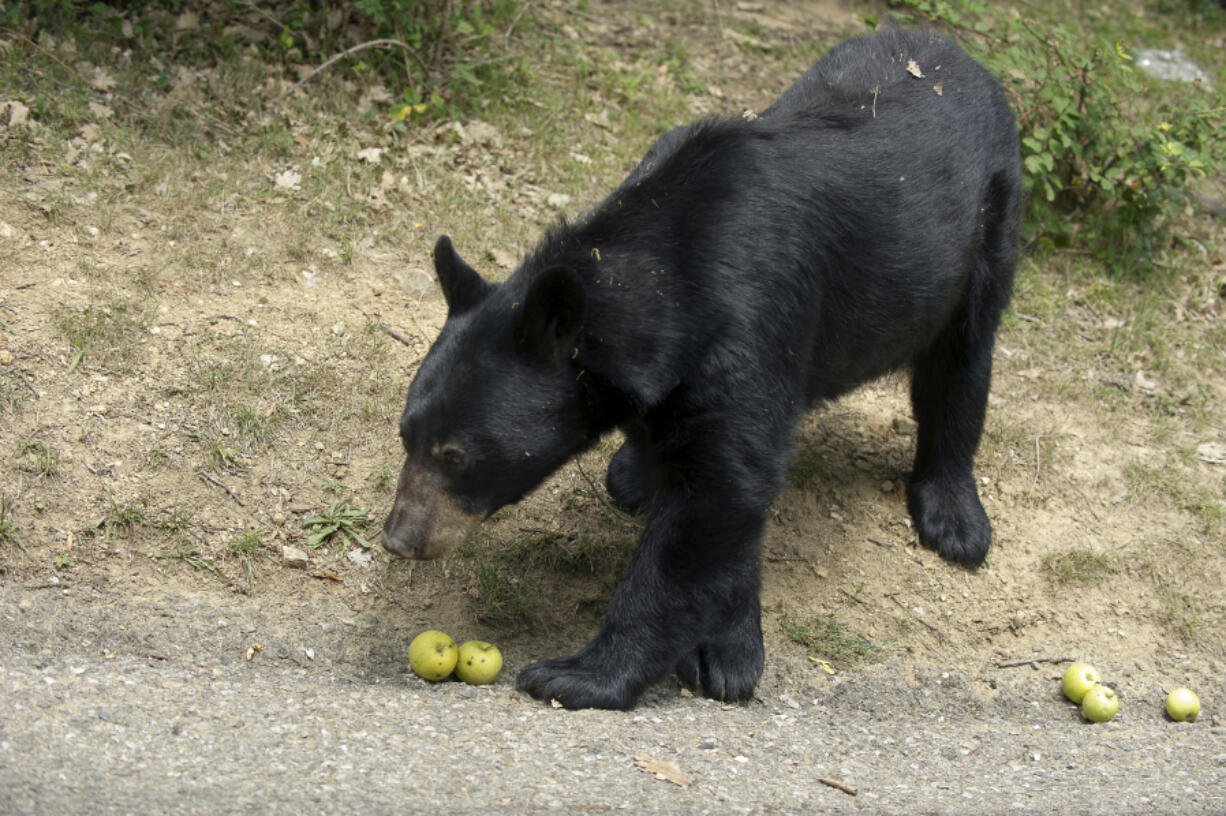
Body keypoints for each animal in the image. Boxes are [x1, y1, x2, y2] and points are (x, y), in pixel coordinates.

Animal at [382, 30, 1024, 705]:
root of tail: (955, 50)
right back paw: (632, 476)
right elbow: (719, 498)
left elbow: (717, 497)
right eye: (406, 436)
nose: (400, 538)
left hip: (984, 228)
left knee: (960, 364)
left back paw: (954, 517)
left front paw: (583, 672)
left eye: (457, 456)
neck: (669, 270)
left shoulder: (751, 324)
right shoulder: (669, 375)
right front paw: (725, 645)